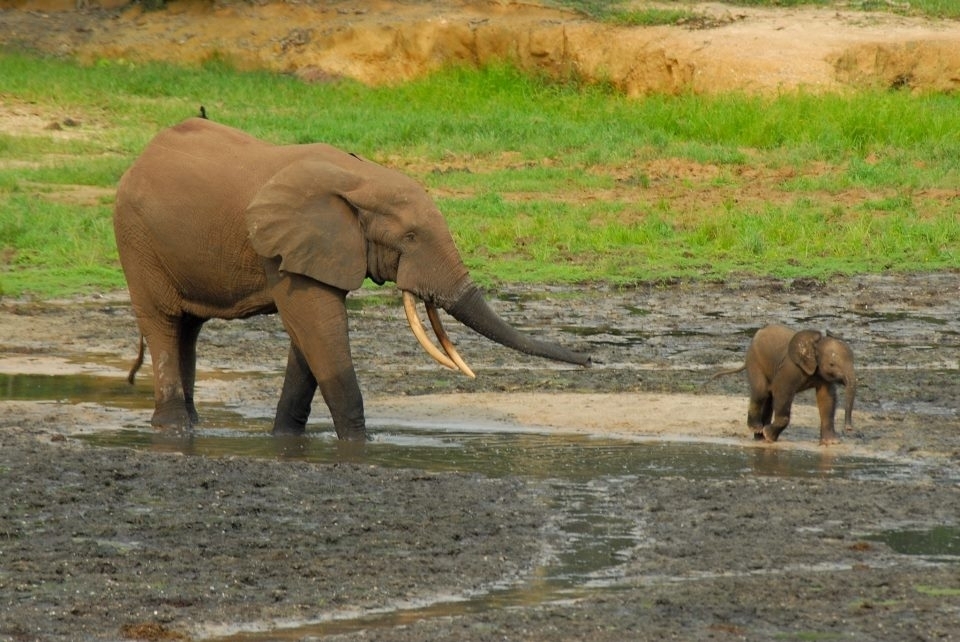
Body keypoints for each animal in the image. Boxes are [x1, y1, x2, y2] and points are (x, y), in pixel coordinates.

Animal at [116, 117, 588, 438]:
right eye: (410, 237)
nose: (588, 360)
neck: (362, 179)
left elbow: (308, 340)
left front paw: (285, 439)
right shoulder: (285, 248)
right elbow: (319, 329)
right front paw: (360, 445)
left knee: (188, 330)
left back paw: (190, 424)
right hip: (135, 241)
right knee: (163, 323)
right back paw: (174, 427)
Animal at [708, 322, 860, 442]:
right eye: (832, 364)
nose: (849, 428)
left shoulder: (822, 375)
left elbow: (827, 399)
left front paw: (831, 443)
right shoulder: (790, 368)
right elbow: (782, 393)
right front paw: (770, 436)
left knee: (768, 397)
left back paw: (759, 436)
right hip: (755, 360)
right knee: (761, 392)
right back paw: (757, 430)